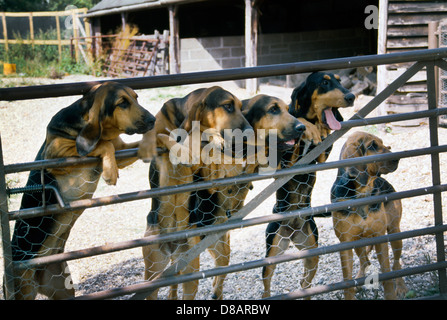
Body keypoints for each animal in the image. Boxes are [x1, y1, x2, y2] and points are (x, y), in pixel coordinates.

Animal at [141, 85, 252, 300]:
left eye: (241, 107)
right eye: (228, 106)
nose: (250, 133)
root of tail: (173, 247)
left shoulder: (203, 168)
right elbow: (163, 136)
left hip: (192, 268)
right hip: (153, 272)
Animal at [262, 72, 354, 298]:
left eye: (339, 80)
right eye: (324, 82)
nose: (351, 96)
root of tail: (292, 231)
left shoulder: (321, 157)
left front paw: (318, 130)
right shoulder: (284, 164)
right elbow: (300, 135)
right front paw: (307, 128)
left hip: (312, 253)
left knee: (304, 283)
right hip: (271, 252)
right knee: (266, 284)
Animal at [330, 131, 408, 300]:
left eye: (383, 143)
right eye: (372, 146)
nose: (398, 157)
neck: (362, 194)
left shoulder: (380, 237)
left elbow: (387, 273)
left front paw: (391, 294)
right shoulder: (346, 243)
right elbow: (347, 282)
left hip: (395, 233)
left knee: (396, 264)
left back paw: (401, 286)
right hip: (359, 242)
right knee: (364, 261)